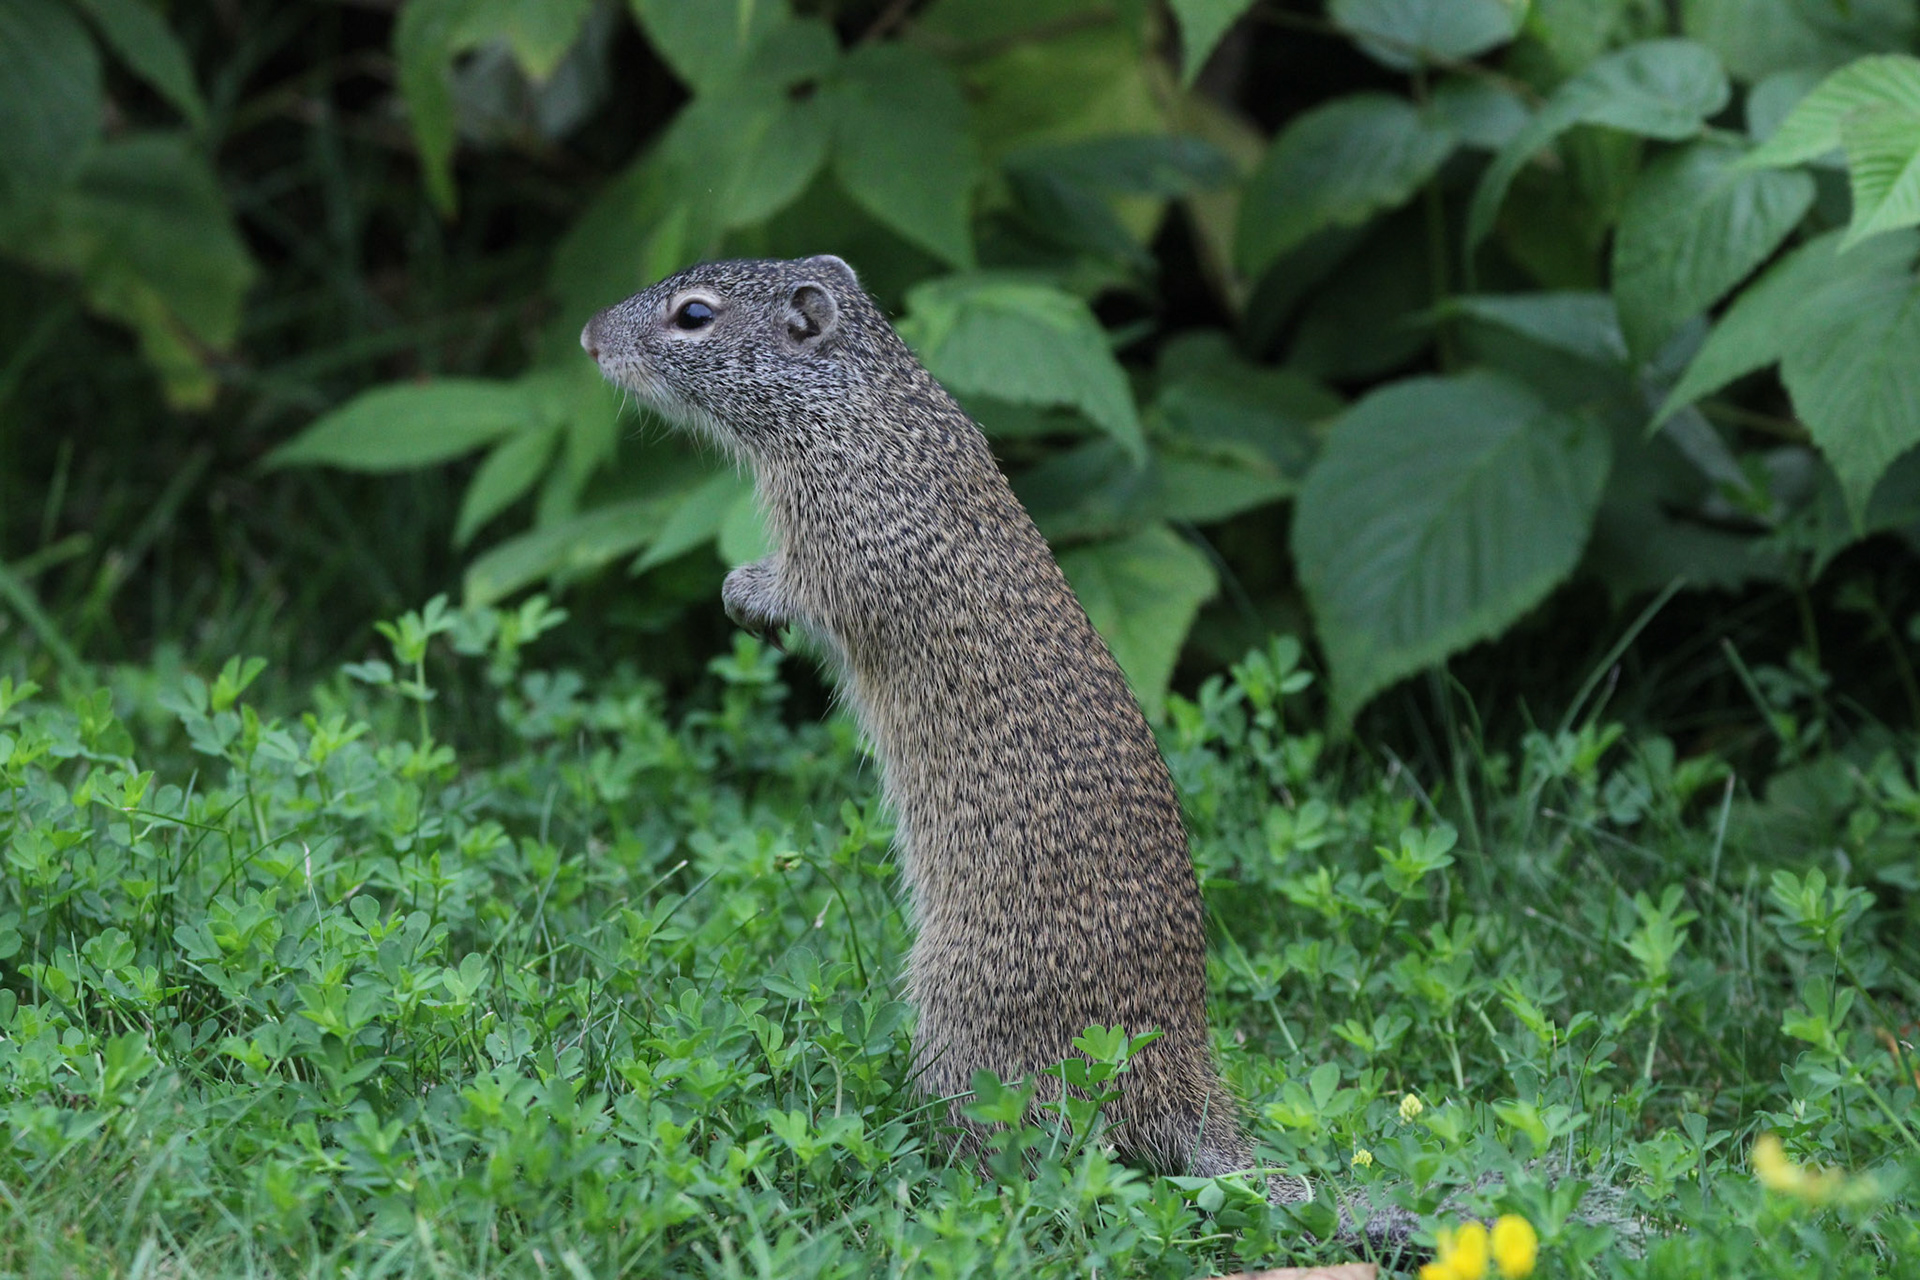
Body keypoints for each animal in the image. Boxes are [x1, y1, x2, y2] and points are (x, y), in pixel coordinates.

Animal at [581, 254, 1485, 1258]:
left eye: (694, 315)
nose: (588, 337)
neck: (867, 415)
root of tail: (1180, 1080)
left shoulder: (847, 549)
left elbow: (803, 589)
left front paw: (744, 593)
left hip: (961, 1013)